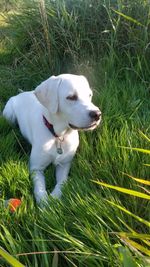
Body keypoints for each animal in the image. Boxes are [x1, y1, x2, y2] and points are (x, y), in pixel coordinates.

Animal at [2, 75, 101, 205]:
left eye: (89, 95)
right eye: (71, 97)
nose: (97, 114)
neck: (58, 136)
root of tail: (21, 94)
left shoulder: (65, 164)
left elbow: (62, 182)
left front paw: (54, 199)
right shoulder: (36, 168)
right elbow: (39, 188)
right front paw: (44, 204)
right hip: (8, 115)